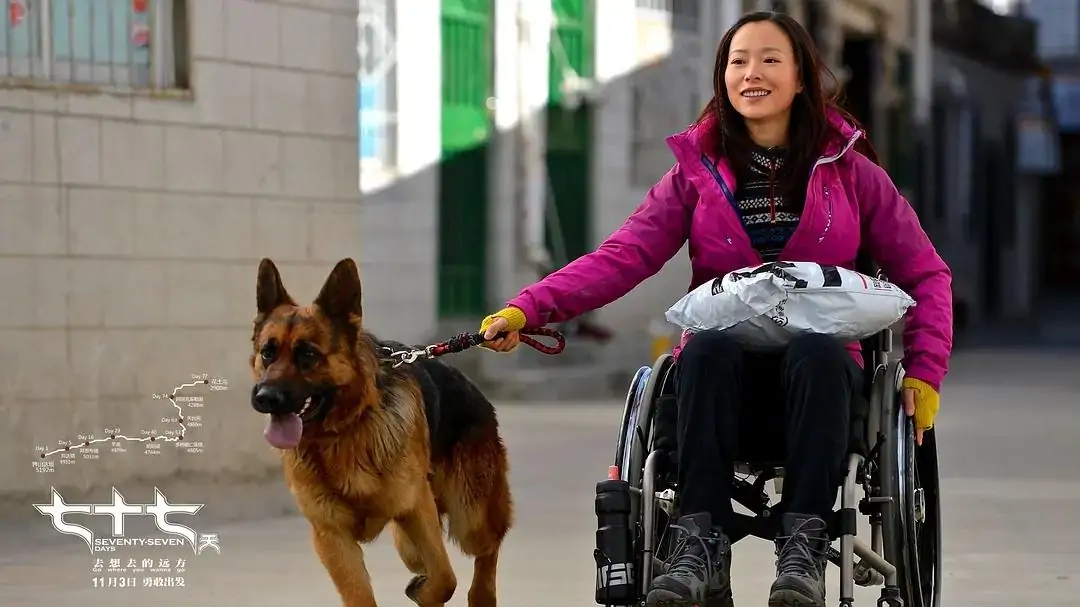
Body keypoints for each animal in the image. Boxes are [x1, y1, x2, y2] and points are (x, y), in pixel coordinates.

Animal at [250, 257, 511, 600]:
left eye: (308, 354)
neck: (346, 431)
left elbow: (445, 580)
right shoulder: (332, 535)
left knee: (488, 548)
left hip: (470, 518)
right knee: (424, 560)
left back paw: (480, 593)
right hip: (408, 541)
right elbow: (362, 594)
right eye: (268, 352)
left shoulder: (416, 507)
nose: (264, 397)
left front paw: (429, 593)